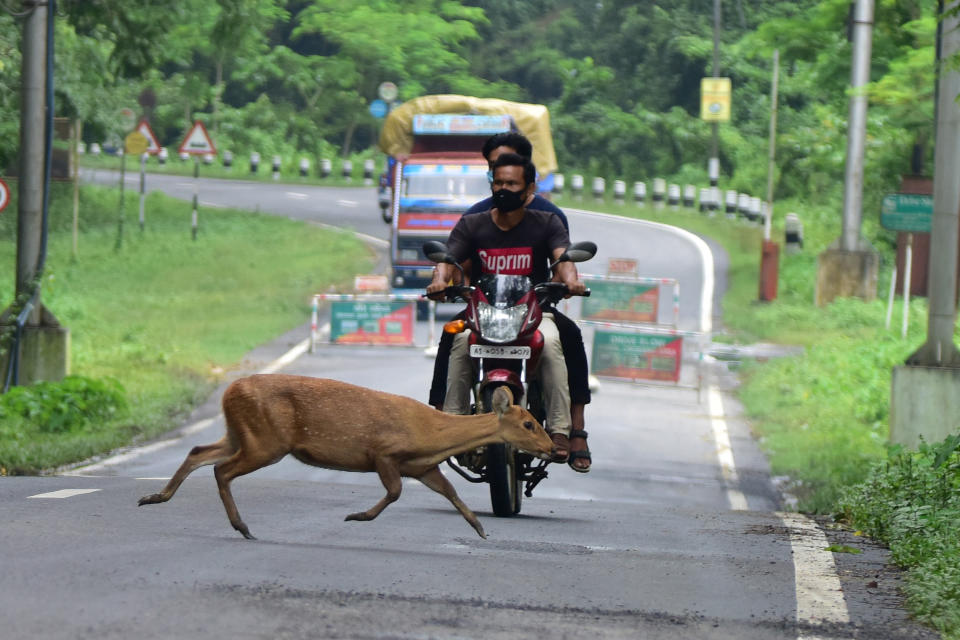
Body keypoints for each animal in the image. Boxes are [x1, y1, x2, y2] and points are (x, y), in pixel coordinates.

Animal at [137, 376, 556, 540]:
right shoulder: (384, 452)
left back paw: (155, 497)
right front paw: (357, 517)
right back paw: (242, 527)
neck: (431, 433)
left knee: (199, 452)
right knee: (222, 470)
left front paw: (480, 529)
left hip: (242, 432)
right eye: (529, 423)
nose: (553, 448)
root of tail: (228, 391)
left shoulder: (423, 466)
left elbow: (451, 492)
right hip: (267, 440)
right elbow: (395, 493)